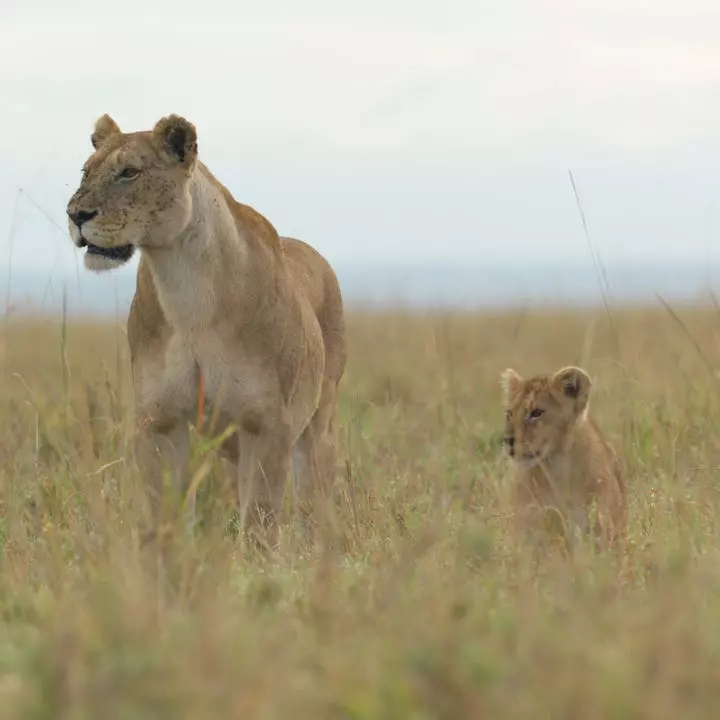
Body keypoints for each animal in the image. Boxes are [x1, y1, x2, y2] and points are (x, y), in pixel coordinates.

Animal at [66, 113, 347, 548]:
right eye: (86, 171)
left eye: (129, 172)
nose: (75, 215)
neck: (185, 287)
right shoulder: (160, 421)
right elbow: (166, 512)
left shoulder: (267, 424)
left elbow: (260, 520)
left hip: (319, 423)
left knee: (312, 497)